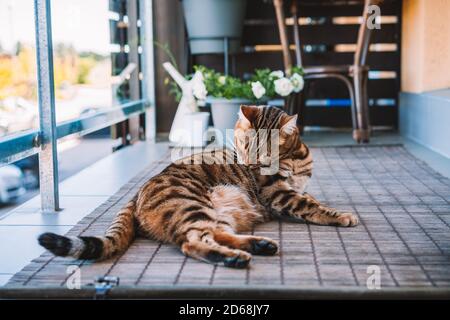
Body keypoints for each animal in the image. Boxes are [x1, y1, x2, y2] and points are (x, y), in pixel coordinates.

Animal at [37, 105, 358, 268]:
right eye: (244, 146)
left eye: (265, 152)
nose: (249, 163)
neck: (295, 156)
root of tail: (136, 192)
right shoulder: (278, 193)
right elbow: (311, 205)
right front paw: (341, 215)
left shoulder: (295, 187)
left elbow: (310, 196)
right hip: (191, 204)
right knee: (192, 242)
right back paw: (235, 258)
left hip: (217, 212)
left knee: (215, 233)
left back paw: (258, 245)